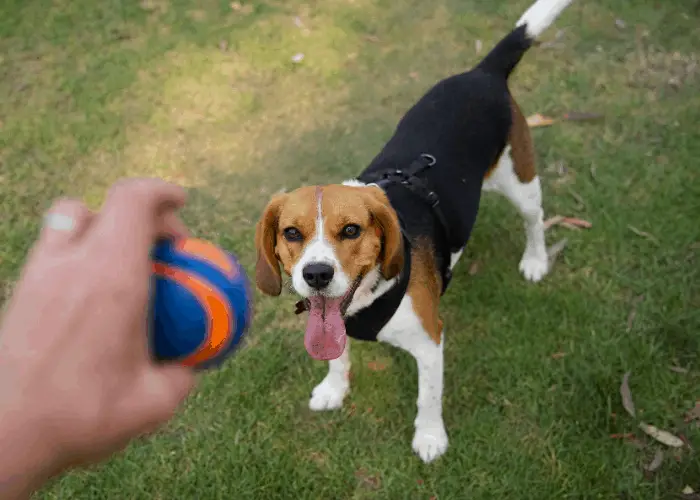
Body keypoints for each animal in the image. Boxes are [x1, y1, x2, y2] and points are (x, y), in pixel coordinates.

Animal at [258, 0, 576, 462]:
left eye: (351, 230)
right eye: (292, 233)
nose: (316, 274)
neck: (366, 298)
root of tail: (481, 73)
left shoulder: (430, 341)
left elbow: (428, 396)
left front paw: (429, 437)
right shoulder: (331, 322)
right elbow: (337, 356)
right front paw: (334, 389)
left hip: (521, 181)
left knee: (533, 220)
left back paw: (535, 260)